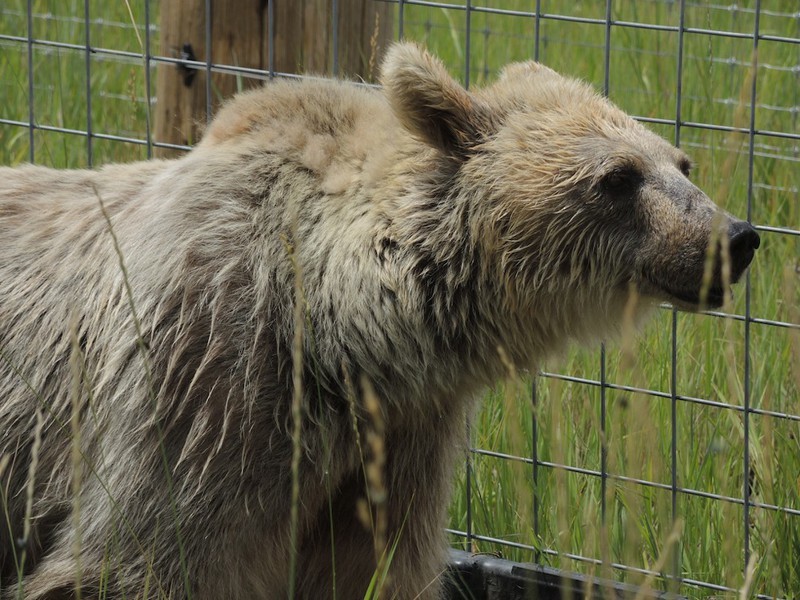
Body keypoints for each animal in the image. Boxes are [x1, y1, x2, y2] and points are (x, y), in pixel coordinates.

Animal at [0, 43, 760, 600]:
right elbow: (138, 557)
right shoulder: (206, 387)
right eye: (619, 177)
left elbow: (368, 568)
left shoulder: (399, 437)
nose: (736, 237)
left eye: (682, 161)